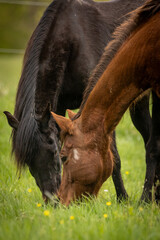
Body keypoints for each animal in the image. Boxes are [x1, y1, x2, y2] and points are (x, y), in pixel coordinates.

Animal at [4, 0, 146, 202]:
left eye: (54, 151)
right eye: (28, 162)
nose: (53, 201)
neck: (74, 38)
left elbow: (115, 157)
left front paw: (122, 199)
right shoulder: (58, 108)